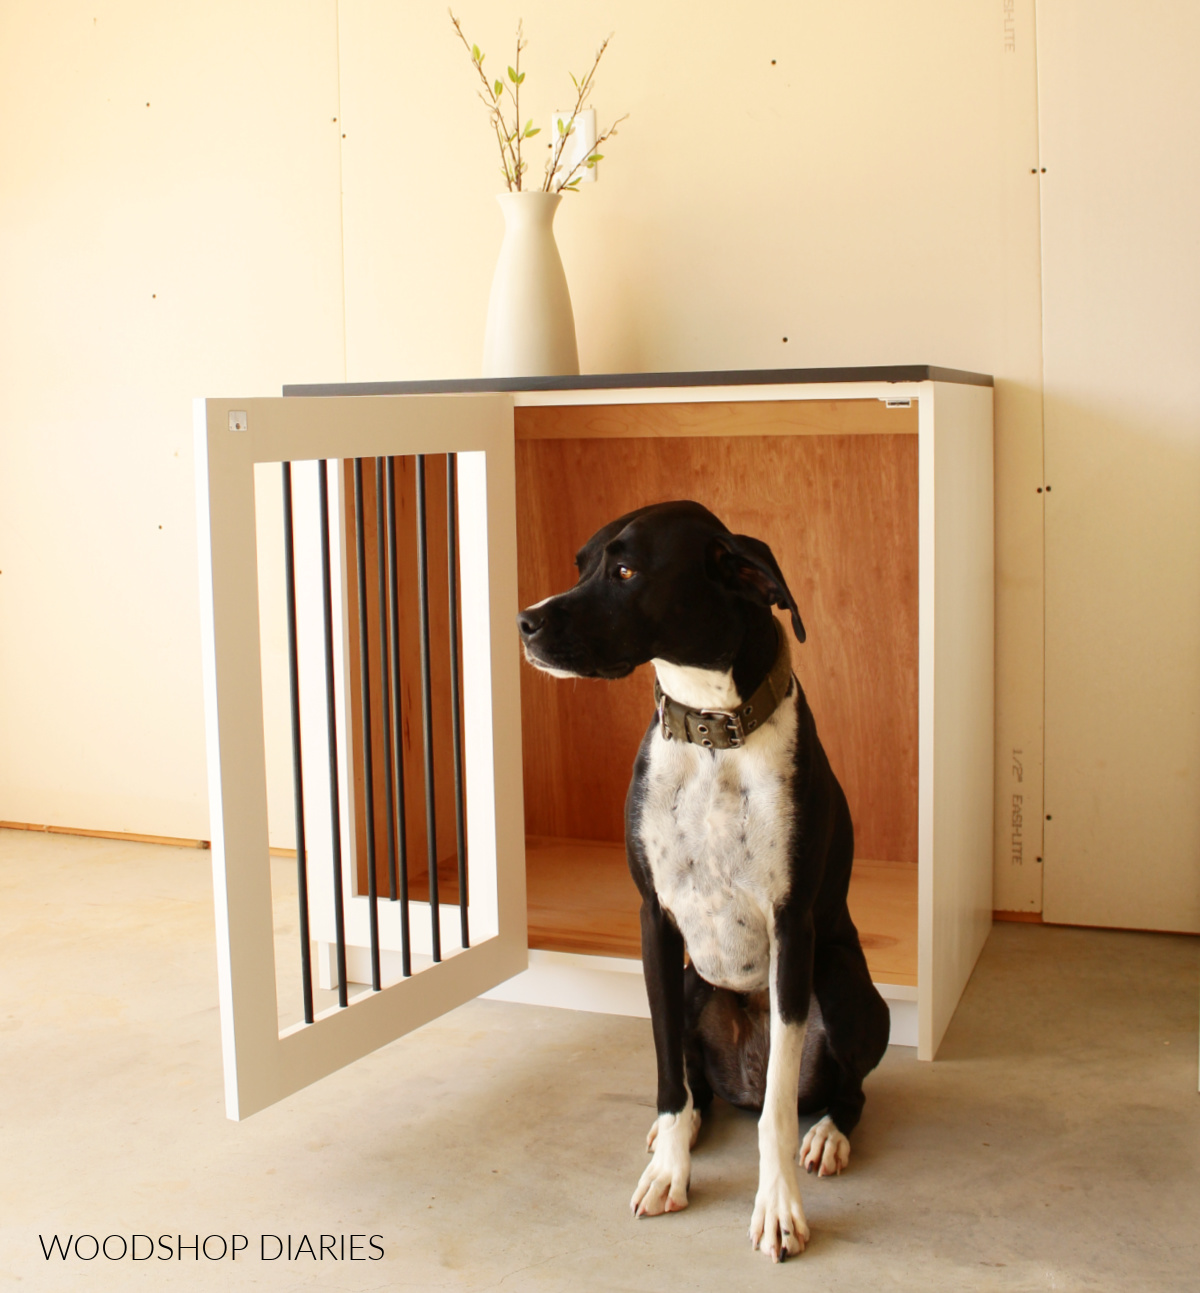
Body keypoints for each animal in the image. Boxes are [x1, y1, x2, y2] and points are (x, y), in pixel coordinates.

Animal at [514, 501, 889, 1261]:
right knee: (695, 1089)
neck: (713, 732)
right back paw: (679, 1131)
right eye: (583, 563)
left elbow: (777, 1110)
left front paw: (778, 1208)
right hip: (694, 984)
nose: (525, 621)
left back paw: (828, 1135)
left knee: (841, 1092)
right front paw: (669, 1170)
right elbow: (666, 1074)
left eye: (627, 571)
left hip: (842, 981)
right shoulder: (653, 922)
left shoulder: (793, 926)